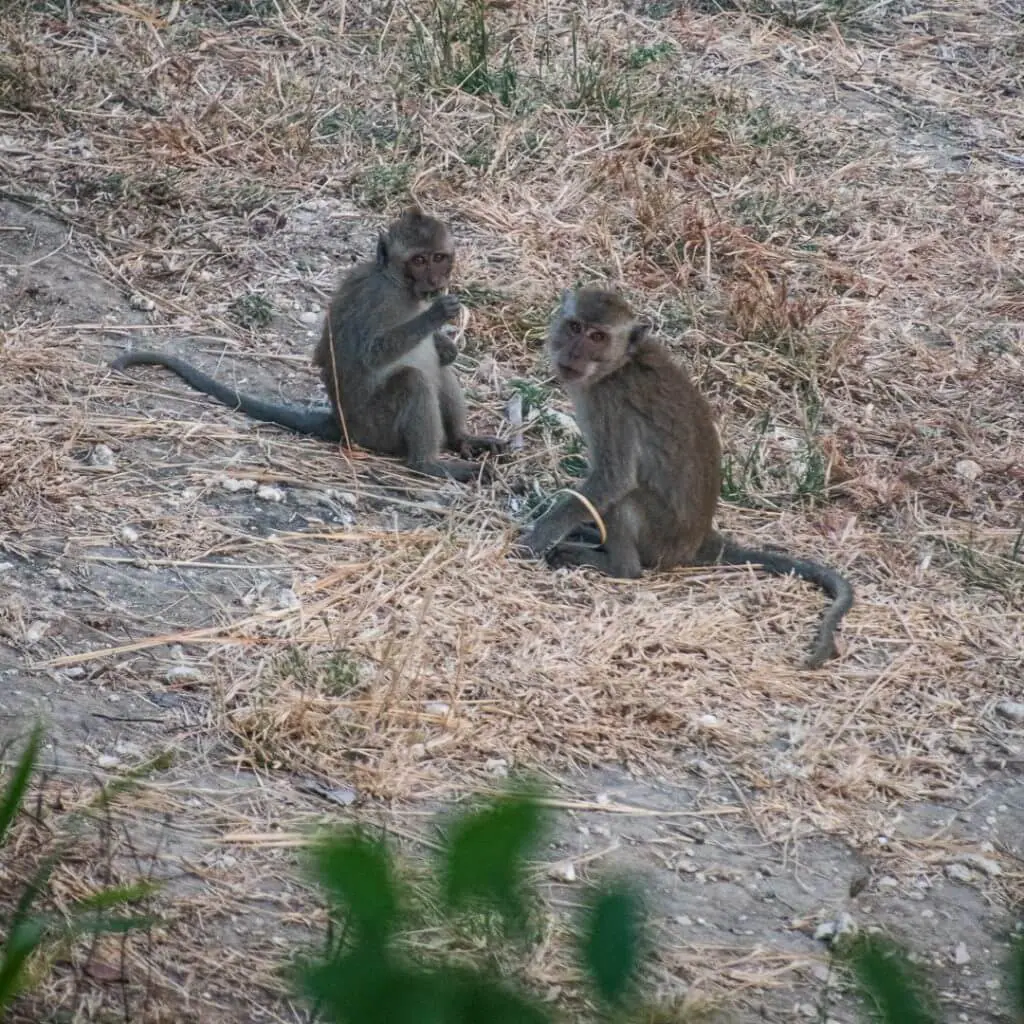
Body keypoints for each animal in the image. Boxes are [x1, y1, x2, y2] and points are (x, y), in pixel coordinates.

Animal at [111, 208, 503, 482]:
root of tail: (342, 425)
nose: (436, 280)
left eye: (438, 257)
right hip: (376, 428)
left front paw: (446, 342)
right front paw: (436, 316)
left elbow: (440, 356)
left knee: (438, 369)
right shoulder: (377, 300)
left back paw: (462, 440)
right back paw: (428, 465)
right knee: (412, 380)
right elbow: (371, 352)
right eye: (419, 260)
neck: (398, 283)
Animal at [514, 288, 854, 669]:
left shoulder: (612, 405)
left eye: (597, 336)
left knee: (624, 503)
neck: (619, 366)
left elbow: (613, 481)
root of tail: (700, 540)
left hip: (660, 537)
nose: (573, 352)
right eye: (575, 327)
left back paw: (614, 565)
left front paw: (536, 539)